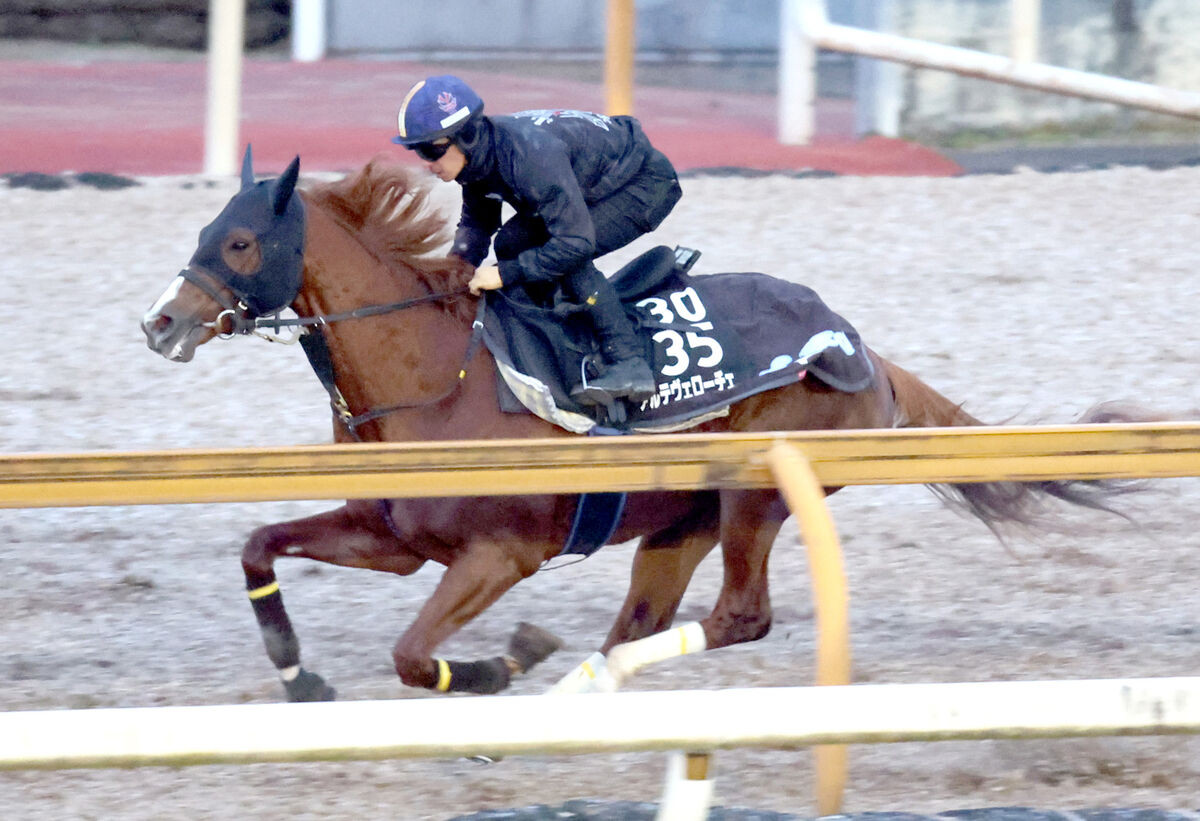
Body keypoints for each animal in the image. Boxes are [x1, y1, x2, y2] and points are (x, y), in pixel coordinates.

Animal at [138, 150, 1142, 700]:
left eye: (240, 241)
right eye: (204, 228)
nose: (161, 321)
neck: (433, 379)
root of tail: (859, 344)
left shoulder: (501, 551)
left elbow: (414, 655)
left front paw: (505, 661)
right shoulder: (392, 536)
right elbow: (259, 546)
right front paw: (298, 674)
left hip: (753, 496)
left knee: (738, 615)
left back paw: (573, 683)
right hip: (677, 519)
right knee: (641, 623)